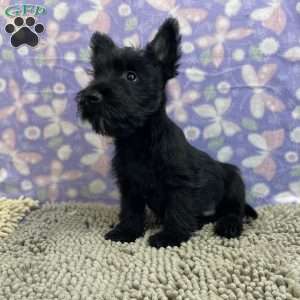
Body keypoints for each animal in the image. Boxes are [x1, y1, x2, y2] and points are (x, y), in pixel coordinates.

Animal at [76, 17, 256, 248]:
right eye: (97, 74)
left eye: (131, 76)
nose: (90, 96)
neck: (139, 139)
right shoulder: (130, 185)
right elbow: (130, 210)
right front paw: (126, 231)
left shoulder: (180, 184)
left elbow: (177, 209)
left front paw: (171, 236)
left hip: (234, 182)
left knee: (234, 210)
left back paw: (229, 225)